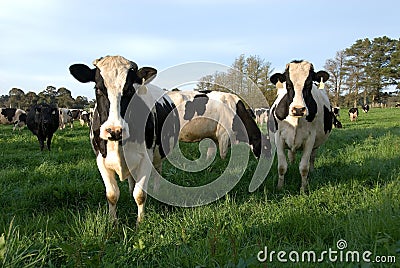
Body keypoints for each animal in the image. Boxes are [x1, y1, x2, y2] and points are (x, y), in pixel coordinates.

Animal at [270, 59, 332, 192]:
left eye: (309, 84)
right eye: (288, 85)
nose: (298, 109)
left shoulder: (310, 139)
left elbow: (304, 167)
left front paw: (303, 189)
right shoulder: (279, 137)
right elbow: (281, 167)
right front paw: (280, 187)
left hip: (316, 144)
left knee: (312, 158)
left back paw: (312, 171)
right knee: (291, 155)